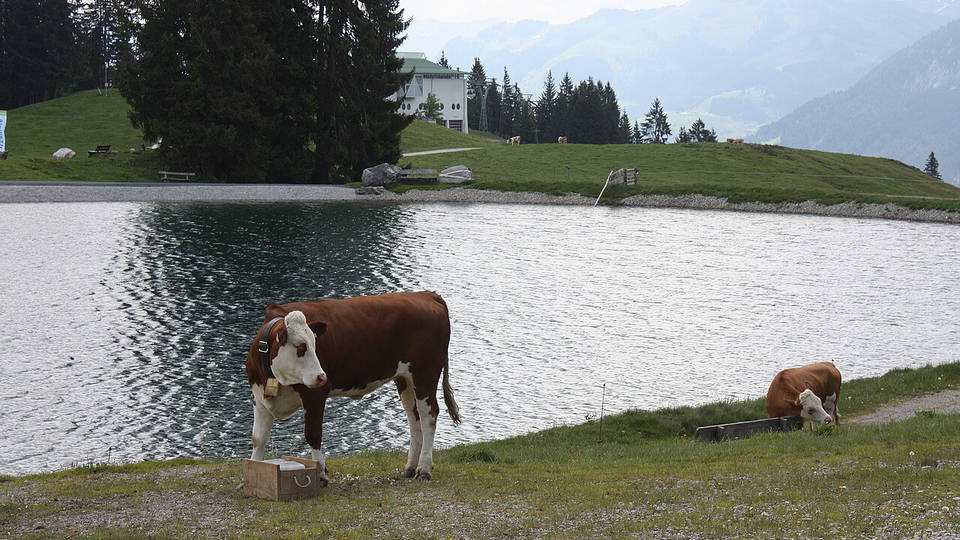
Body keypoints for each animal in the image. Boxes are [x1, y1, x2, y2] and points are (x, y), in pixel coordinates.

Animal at [245, 291, 461, 485]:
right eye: (300, 346)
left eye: (315, 344)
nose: (322, 376)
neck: (275, 376)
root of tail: (426, 294)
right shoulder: (259, 398)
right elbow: (258, 438)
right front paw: (253, 474)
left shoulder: (315, 395)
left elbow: (313, 435)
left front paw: (321, 474)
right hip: (405, 378)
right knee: (414, 417)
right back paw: (410, 467)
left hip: (425, 374)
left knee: (428, 415)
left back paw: (424, 469)